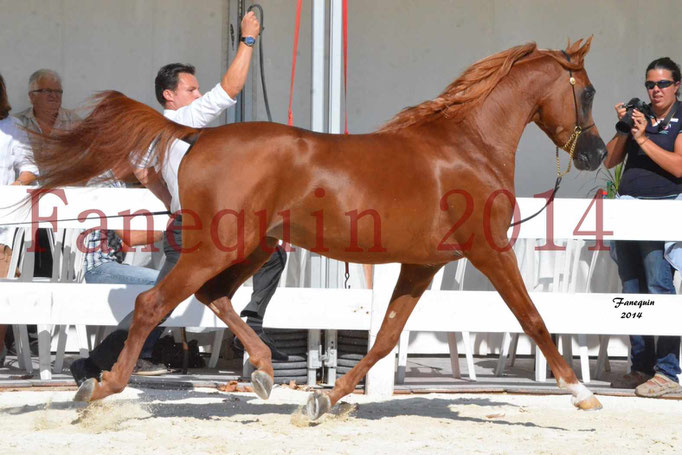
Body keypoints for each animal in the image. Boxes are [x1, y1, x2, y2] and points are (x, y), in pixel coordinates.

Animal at [34, 37, 604, 418]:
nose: (596, 153)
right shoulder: (489, 249)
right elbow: (533, 319)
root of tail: (195, 137)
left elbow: (385, 338)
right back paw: (100, 388)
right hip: (218, 246)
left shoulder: (421, 265)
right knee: (153, 304)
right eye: (589, 92)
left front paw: (324, 399)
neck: (467, 147)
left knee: (215, 296)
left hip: (251, 247)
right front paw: (582, 394)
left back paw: (264, 371)